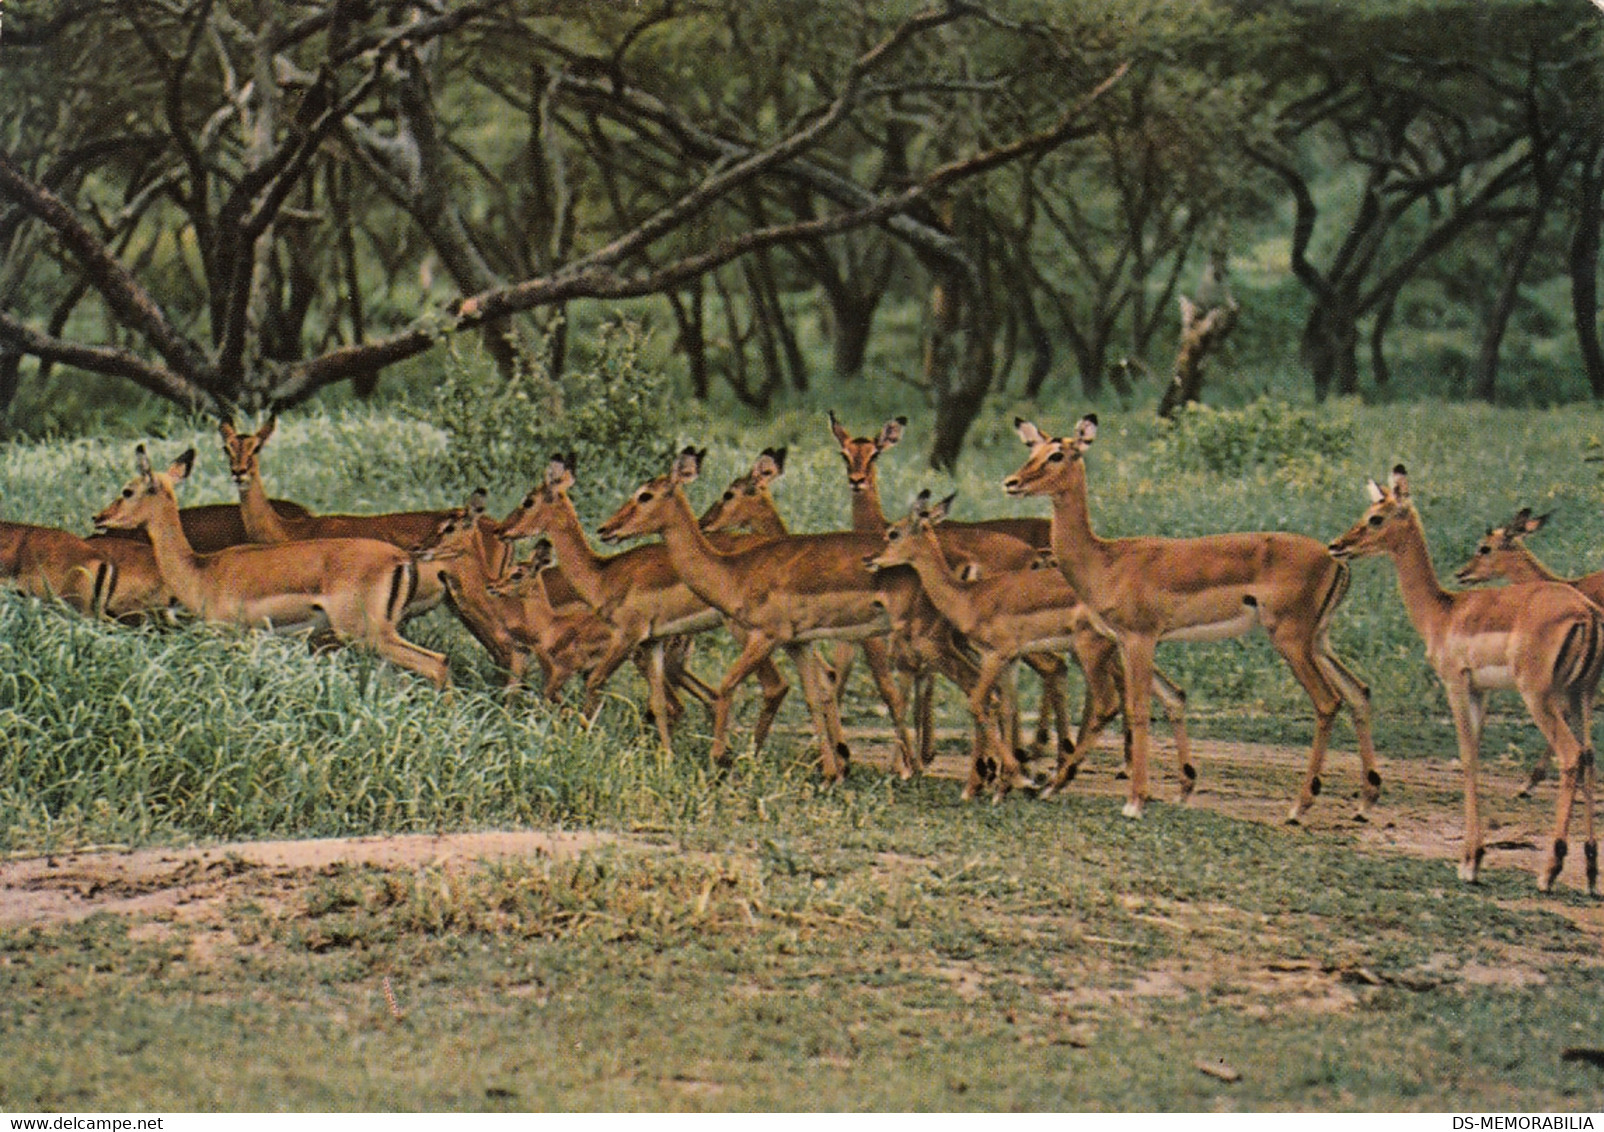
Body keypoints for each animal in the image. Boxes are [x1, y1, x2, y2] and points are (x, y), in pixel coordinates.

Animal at [93, 445, 449, 688]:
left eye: (127, 490)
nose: (99, 516)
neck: (200, 571)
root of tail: (401, 559)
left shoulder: (228, 635)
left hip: (366, 633)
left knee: (436, 664)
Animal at [1006, 415, 1380, 821]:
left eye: (1057, 454)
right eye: (1033, 450)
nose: (1012, 482)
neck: (1105, 561)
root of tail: (1336, 559)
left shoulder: (1140, 638)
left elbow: (1138, 710)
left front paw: (1134, 802)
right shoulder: (1127, 642)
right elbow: (1172, 698)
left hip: (1291, 640)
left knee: (1328, 702)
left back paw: (1298, 806)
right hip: (1319, 640)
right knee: (1358, 691)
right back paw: (1364, 801)